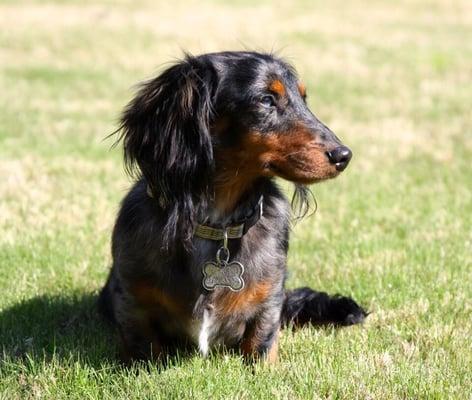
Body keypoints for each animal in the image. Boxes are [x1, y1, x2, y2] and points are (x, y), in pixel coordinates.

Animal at [97, 50, 366, 362]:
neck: (217, 224)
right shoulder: (131, 299)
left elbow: (261, 339)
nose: (344, 156)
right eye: (266, 99)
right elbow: (144, 346)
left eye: (304, 98)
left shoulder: (270, 299)